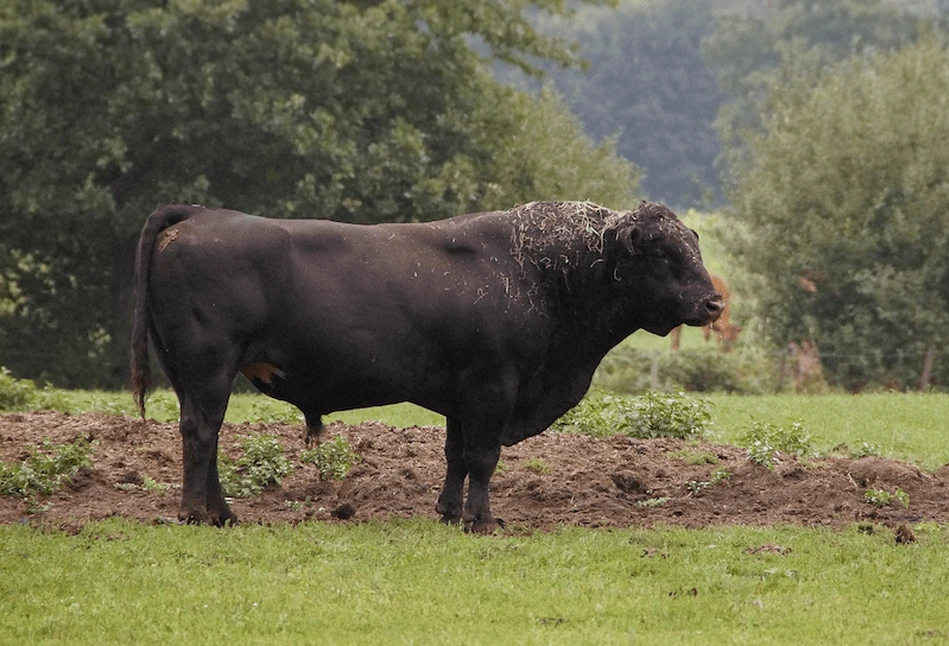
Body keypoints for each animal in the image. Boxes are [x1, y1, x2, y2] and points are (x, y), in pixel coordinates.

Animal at [126, 201, 720, 532]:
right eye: (662, 252)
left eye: (693, 244)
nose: (714, 302)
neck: (537, 270)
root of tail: (199, 215)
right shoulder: (493, 384)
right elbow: (482, 457)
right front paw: (483, 521)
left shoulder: (463, 395)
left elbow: (455, 456)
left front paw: (450, 512)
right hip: (209, 370)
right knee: (202, 433)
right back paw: (196, 513)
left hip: (194, 376)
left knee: (206, 436)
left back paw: (223, 513)